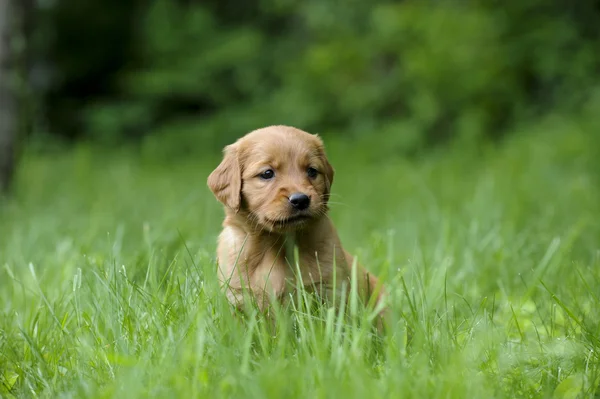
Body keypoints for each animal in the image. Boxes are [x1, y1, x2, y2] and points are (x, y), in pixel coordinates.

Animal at [207, 126, 384, 324]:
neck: (276, 244)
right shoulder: (238, 298)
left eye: (312, 171)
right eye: (267, 173)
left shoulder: (330, 291)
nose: (301, 200)